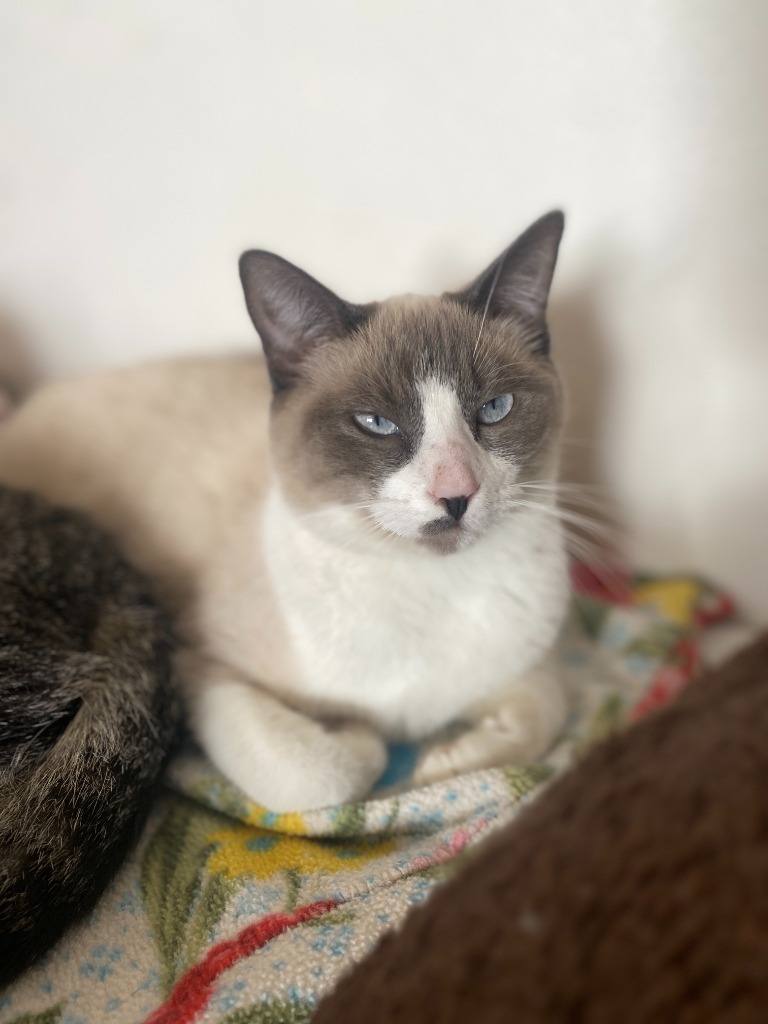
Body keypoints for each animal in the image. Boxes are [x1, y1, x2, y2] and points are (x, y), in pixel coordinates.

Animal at [0, 211, 573, 811]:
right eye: (377, 424)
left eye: (495, 408)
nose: (456, 493)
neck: (431, 590)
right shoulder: (192, 667)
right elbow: (322, 774)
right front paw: (366, 738)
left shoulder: (534, 663)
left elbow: (543, 720)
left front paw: (437, 762)